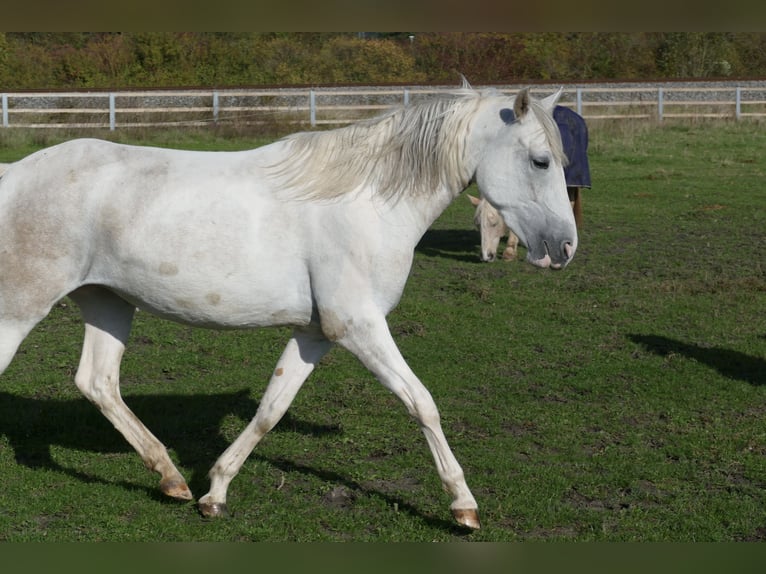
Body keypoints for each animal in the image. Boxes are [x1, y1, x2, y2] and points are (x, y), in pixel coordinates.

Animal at [0, 84, 576, 532]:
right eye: (540, 160)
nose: (565, 248)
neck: (366, 202)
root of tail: (13, 175)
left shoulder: (317, 333)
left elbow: (271, 409)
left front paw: (215, 492)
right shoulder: (360, 326)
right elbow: (422, 402)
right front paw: (464, 506)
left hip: (109, 304)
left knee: (98, 382)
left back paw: (172, 480)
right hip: (20, 308)